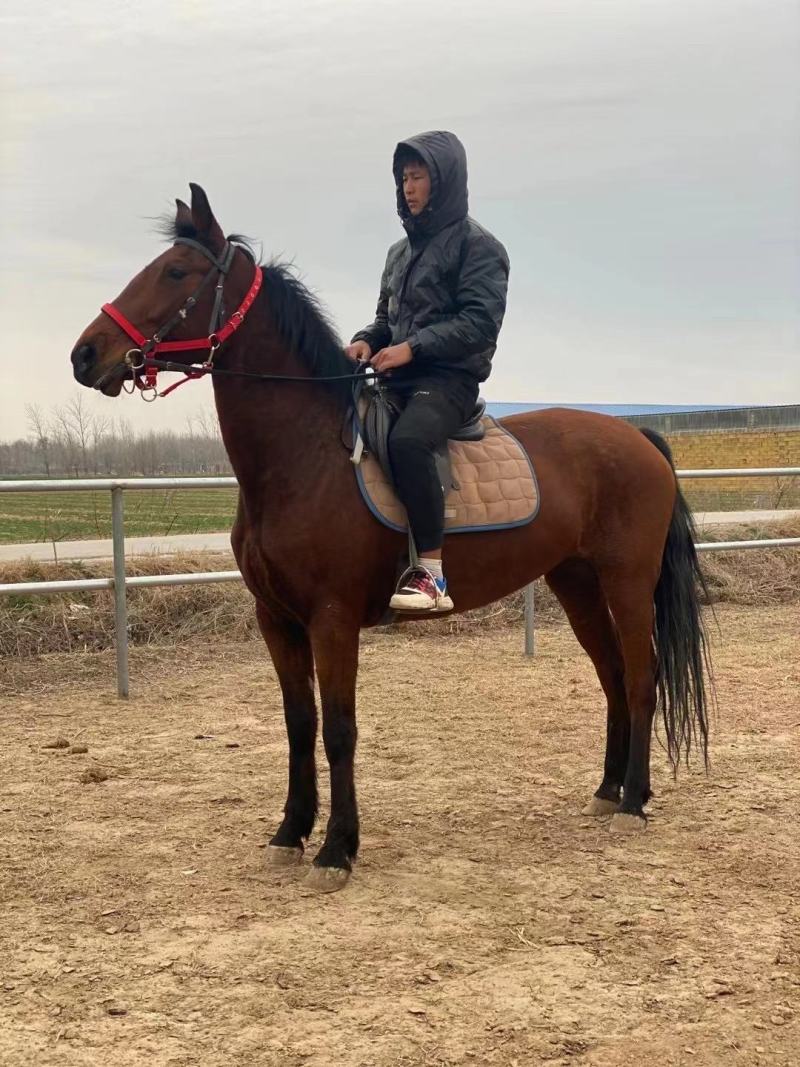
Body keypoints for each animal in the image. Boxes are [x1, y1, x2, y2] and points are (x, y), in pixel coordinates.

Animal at [70, 184, 711, 892]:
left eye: (177, 272)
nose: (85, 355)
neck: (305, 455)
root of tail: (639, 437)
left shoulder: (331, 619)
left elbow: (339, 730)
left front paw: (336, 849)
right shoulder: (277, 619)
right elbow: (299, 726)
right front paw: (290, 833)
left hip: (627, 582)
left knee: (643, 675)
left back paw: (634, 801)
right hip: (575, 584)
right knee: (613, 676)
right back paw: (607, 791)